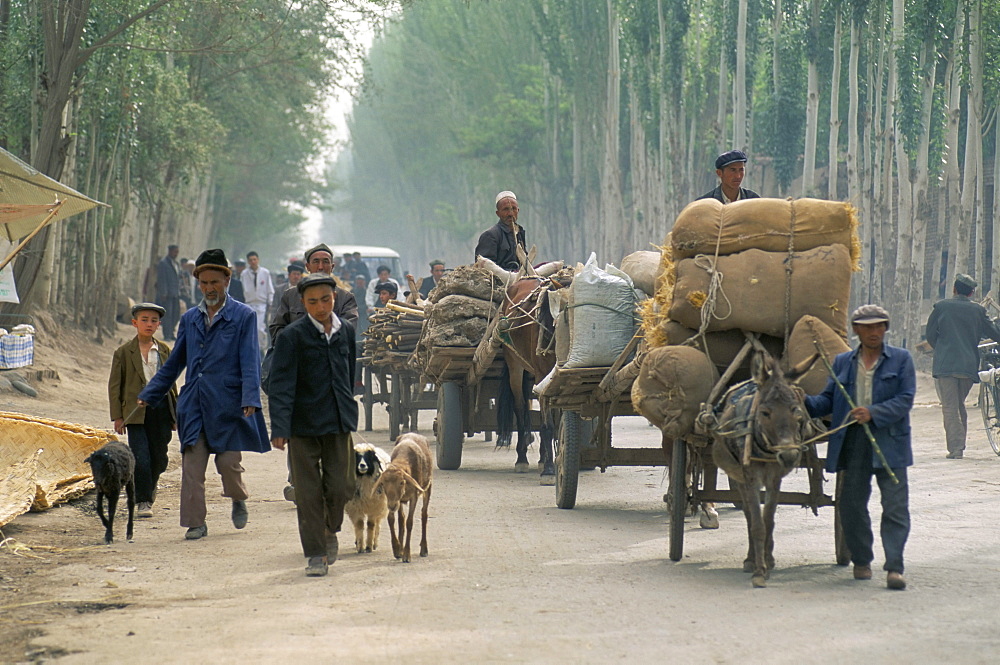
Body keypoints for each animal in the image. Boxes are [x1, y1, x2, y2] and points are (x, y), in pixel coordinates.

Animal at [374, 430, 432, 560]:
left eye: (401, 482)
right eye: (383, 483)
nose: (391, 506)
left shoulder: (413, 496)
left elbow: (409, 522)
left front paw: (406, 554)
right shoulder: (396, 499)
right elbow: (394, 519)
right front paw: (397, 549)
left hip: (428, 486)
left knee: (424, 514)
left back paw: (424, 549)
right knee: (402, 518)